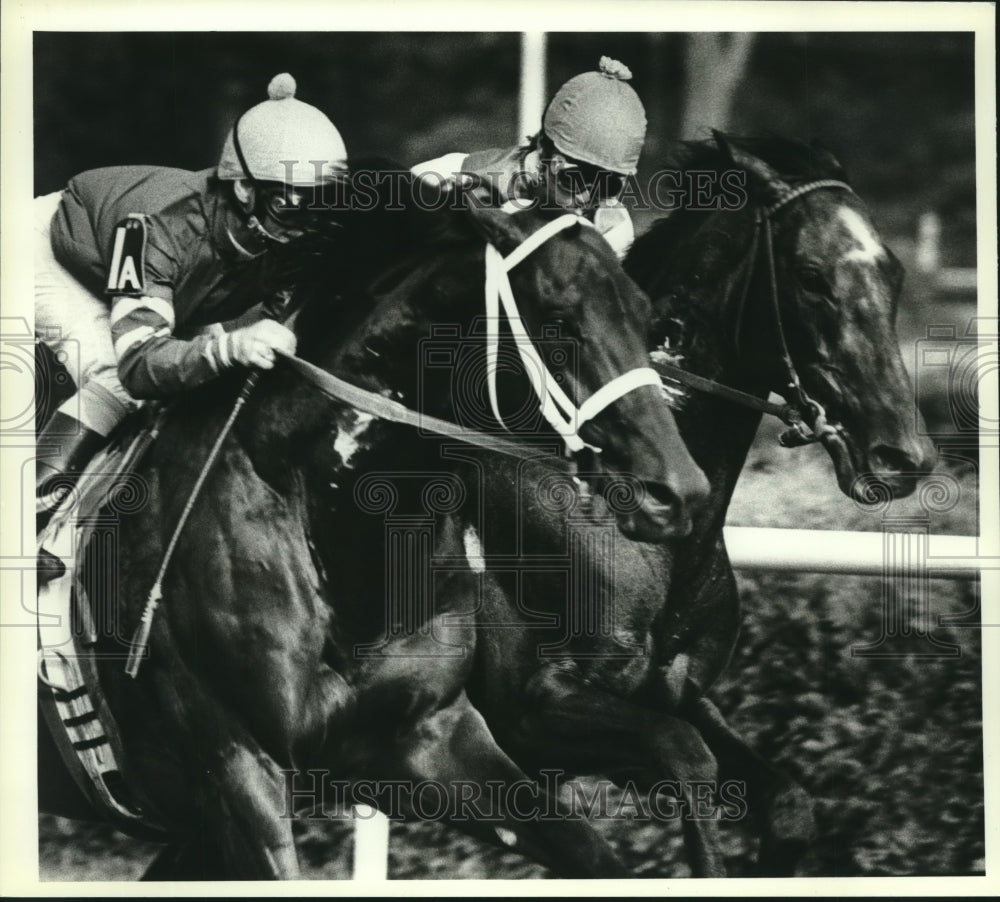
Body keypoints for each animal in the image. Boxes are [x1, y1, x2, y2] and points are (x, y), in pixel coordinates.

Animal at [37, 171, 712, 884]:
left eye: (649, 319)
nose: (679, 490)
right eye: (559, 321)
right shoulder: (238, 768)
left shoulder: (430, 738)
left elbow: (600, 840)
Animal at [452, 134, 936, 876]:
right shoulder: (535, 710)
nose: (902, 456)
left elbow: (787, 803)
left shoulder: (680, 694)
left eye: (894, 273)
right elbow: (689, 763)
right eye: (810, 276)